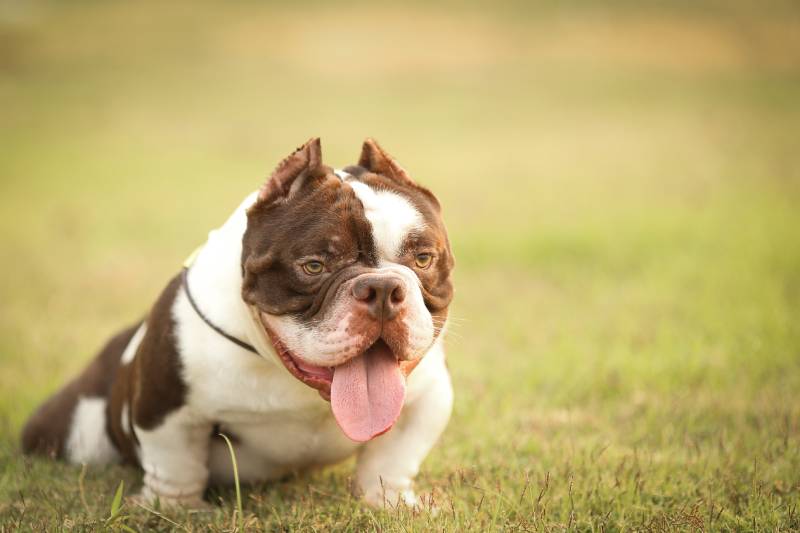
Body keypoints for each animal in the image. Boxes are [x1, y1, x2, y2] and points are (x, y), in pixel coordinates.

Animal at [20, 137, 456, 508]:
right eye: (314, 266)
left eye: (422, 259)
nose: (381, 289)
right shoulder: (165, 405)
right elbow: (175, 463)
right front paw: (174, 508)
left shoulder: (427, 400)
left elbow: (393, 459)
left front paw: (389, 502)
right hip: (78, 432)